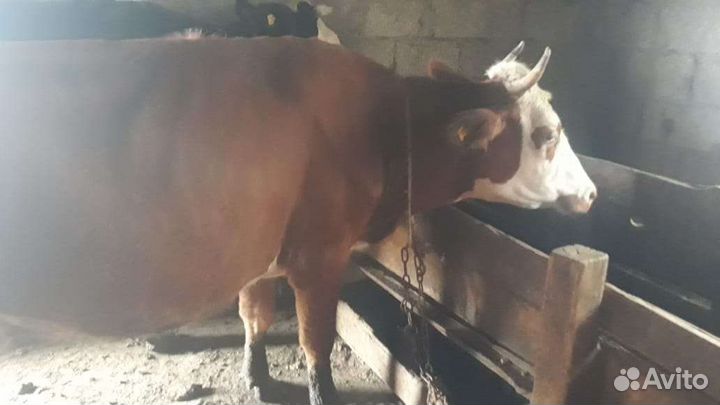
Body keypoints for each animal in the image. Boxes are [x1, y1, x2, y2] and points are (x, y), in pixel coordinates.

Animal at [0, 38, 594, 404]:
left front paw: (256, 377)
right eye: (546, 134)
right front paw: (320, 392)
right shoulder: (320, 254)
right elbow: (316, 341)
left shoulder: (256, 249)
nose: (590, 193)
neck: (379, 128)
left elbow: (255, 317)